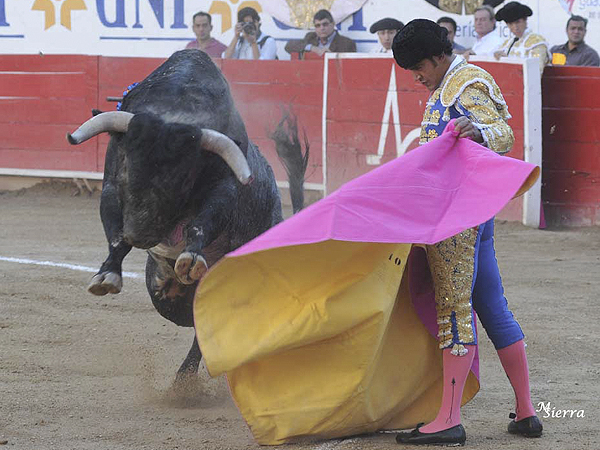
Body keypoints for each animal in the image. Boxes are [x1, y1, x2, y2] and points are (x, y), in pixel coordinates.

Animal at [68, 49, 308, 380]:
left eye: (184, 178)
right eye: (129, 165)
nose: (139, 234)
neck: (175, 111)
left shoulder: (224, 187)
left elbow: (202, 222)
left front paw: (191, 259)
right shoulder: (111, 183)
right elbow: (114, 231)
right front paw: (107, 274)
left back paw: (186, 380)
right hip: (165, 292)